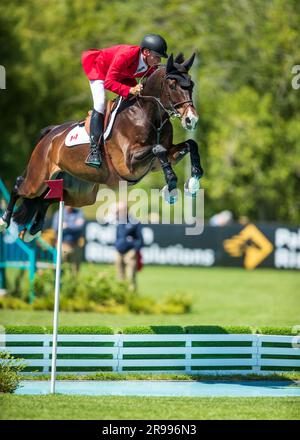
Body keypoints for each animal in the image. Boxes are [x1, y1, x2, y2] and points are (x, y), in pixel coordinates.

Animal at [0, 54, 204, 244]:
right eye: (172, 85)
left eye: (192, 84)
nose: (191, 120)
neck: (149, 114)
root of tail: (50, 135)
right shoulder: (129, 162)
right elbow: (159, 149)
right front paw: (171, 185)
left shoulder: (162, 158)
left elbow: (189, 144)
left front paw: (193, 181)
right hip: (38, 178)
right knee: (20, 186)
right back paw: (5, 221)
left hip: (80, 191)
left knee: (48, 198)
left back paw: (32, 230)